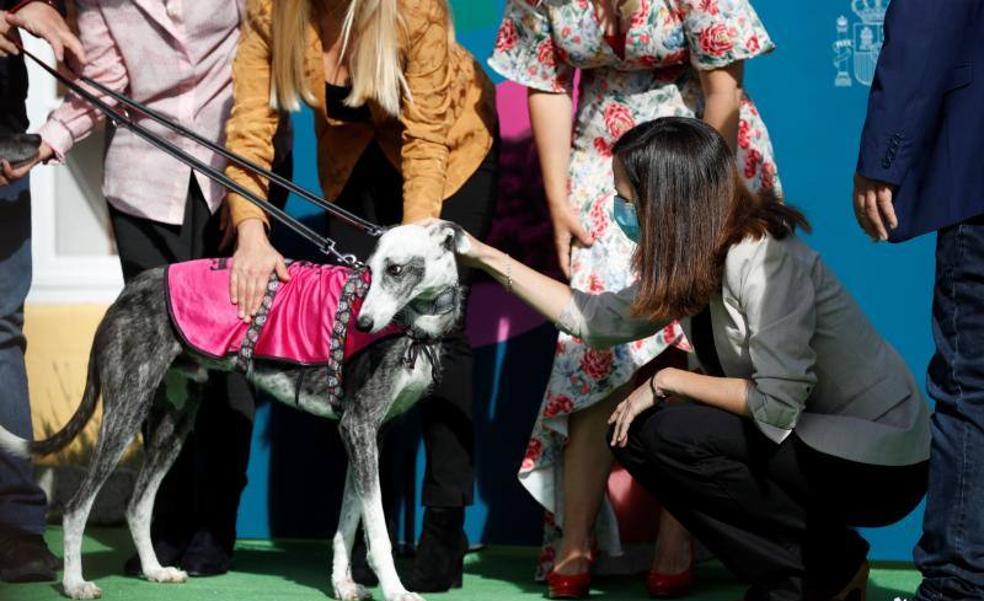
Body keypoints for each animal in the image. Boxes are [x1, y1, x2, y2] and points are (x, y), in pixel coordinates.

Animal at [0, 220, 472, 600]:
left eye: (396, 269)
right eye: (372, 271)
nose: (363, 325)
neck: (416, 328)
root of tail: (129, 289)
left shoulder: (367, 434)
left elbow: (347, 521)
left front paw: (343, 585)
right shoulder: (359, 428)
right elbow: (376, 531)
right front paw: (395, 590)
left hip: (174, 421)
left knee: (137, 503)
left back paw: (154, 570)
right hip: (125, 410)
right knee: (77, 506)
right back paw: (75, 583)